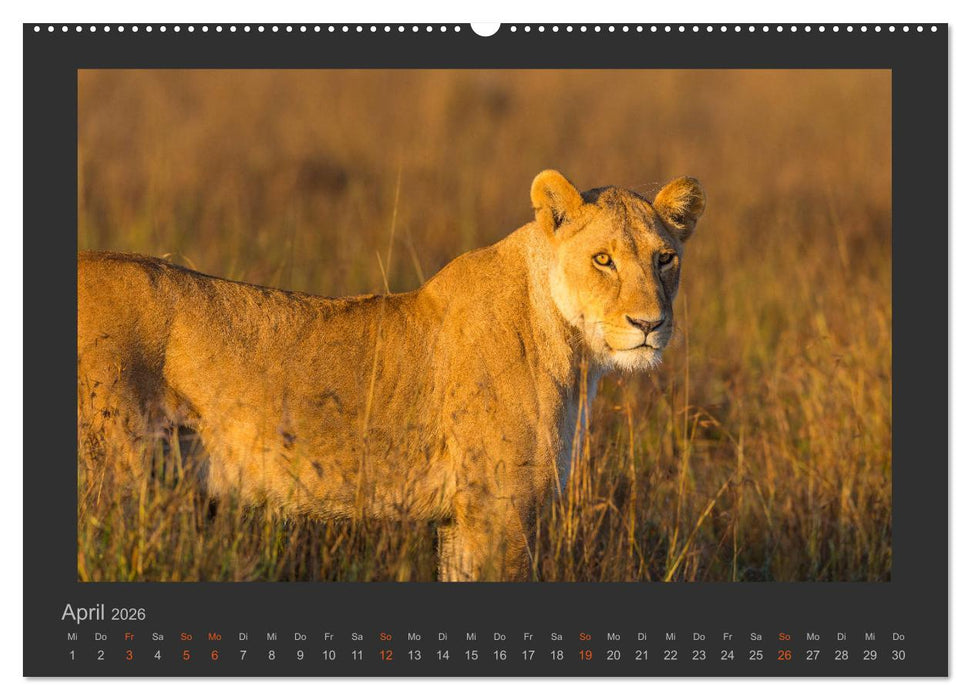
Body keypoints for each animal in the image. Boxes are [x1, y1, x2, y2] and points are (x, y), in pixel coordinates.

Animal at [77, 170, 705, 581]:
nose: (650, 324)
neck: (574, 351)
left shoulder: (461, 518)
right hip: (109, 473)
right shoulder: (499, 507)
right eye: (603, 259)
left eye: (665, 259)